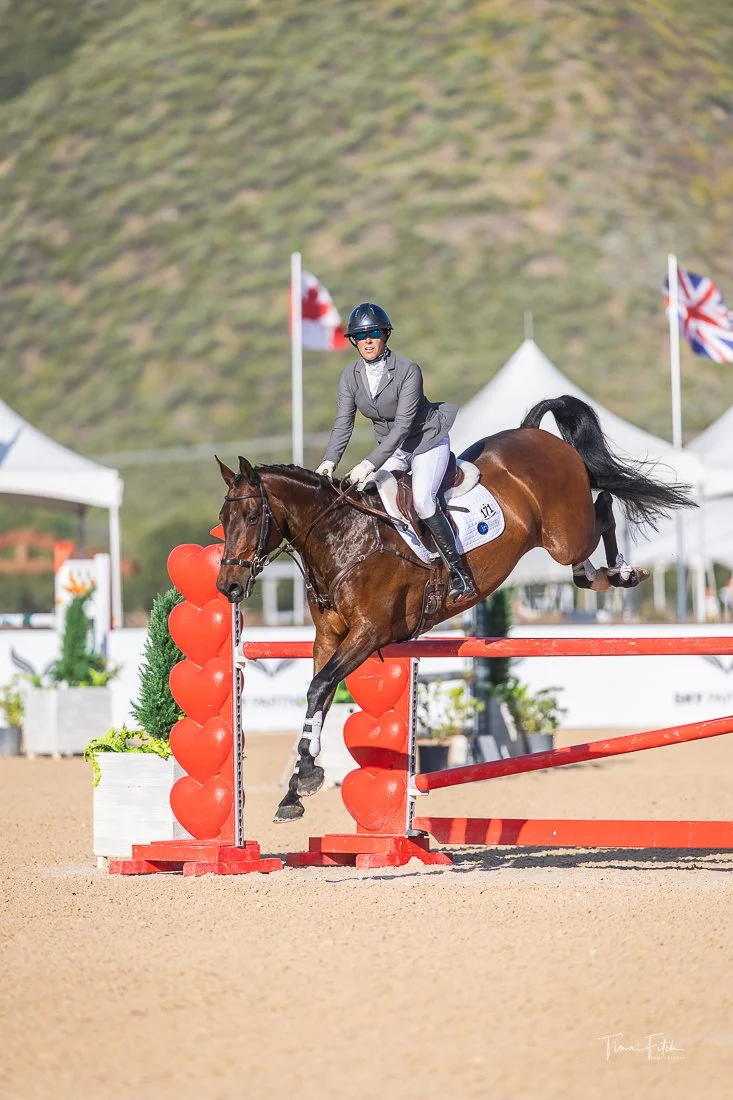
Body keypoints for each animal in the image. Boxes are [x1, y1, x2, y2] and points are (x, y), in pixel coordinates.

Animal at [215, 394, 693, 823]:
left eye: (254, 517)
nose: (229, 586)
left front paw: (306, 778)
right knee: (585, 558)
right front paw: (296, 788)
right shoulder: (329, 639)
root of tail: (534, 433)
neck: (342, 536)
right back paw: (603, 575)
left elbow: (319, 687)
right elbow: (319, 693)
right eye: (223, 520)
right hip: (562, 537)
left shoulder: (369, 633)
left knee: (605, 508)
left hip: (563, 533)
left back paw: (625, 572)